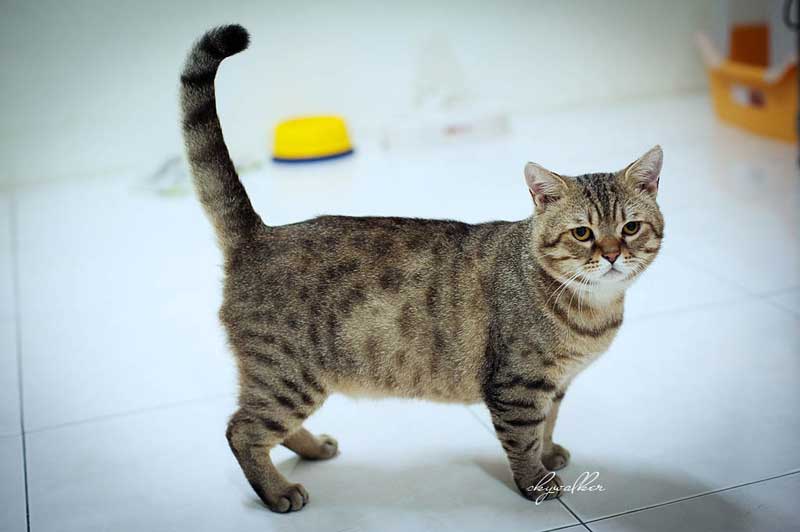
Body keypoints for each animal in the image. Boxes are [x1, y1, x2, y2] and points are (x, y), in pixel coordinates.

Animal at [180, 25, 664, 513]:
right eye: (582, 233)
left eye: (631, 227)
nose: (611, 254)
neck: (591, 310)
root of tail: (258, 233)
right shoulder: (517, 387)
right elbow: (524, 441)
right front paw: (537, 482)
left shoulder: (555, 386)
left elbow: (548, 424)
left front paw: (550, 454)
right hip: (288, 377)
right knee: (242, 431)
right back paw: (278, 490)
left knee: (269, 429)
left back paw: (315, 449)